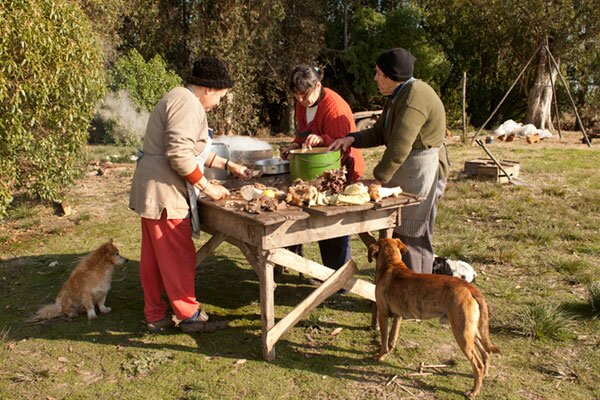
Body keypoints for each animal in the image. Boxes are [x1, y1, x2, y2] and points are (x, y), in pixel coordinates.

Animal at [368, 238, 500, 396]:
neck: (392, 264)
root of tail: (470, 288)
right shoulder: (398, 316)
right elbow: (392, 338)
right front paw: (389, 351)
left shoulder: (382, 313)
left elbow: (384, 339)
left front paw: (380, 355)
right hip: (471, 330)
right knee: (486, 352)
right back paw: (484, 375)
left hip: (461, 333)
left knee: (477, 364)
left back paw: (474, 391)